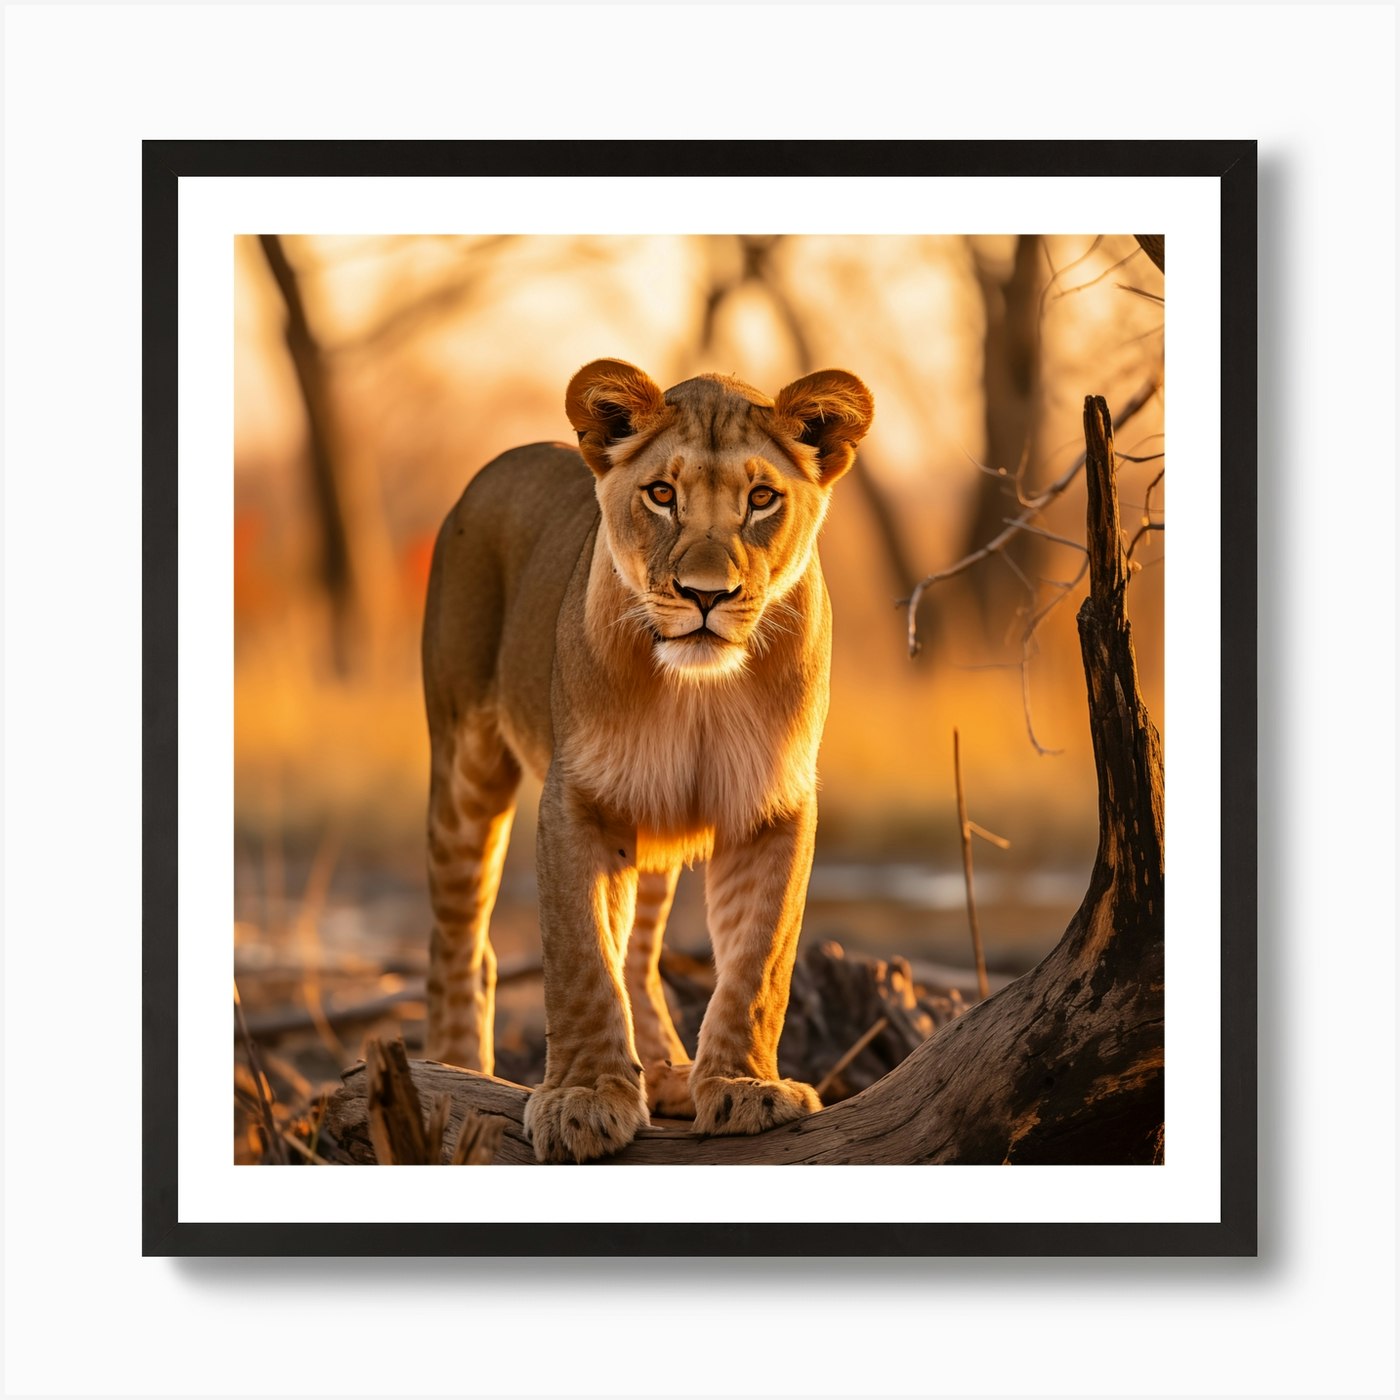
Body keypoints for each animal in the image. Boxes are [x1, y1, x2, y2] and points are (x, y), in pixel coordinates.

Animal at [421, 358, 874, 1162]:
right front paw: (583, 1098)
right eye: (662, 494)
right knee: (460, 938)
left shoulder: (772, 806)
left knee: (637, 949)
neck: (698, 691)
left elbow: (759, 962)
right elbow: (580, 959)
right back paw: (453, 1069)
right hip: (465, 761)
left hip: (655, 815)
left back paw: (664, 1070)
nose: (705, 595)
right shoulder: (576, 800)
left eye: (762, 498)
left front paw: (743, 1086)